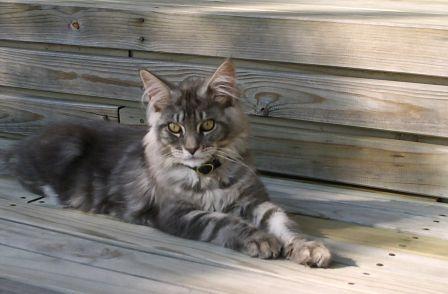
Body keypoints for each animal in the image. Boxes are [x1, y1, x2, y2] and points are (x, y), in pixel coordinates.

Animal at [11, 58, 332, 268]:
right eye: (175, 128)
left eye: (207, 125)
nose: (191, 149)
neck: (207, 173)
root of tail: (22, 144)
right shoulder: (176, 212)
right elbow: (223, 222)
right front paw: (259, 239)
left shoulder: (255, 201)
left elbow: (284, 223)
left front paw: (308, 247)